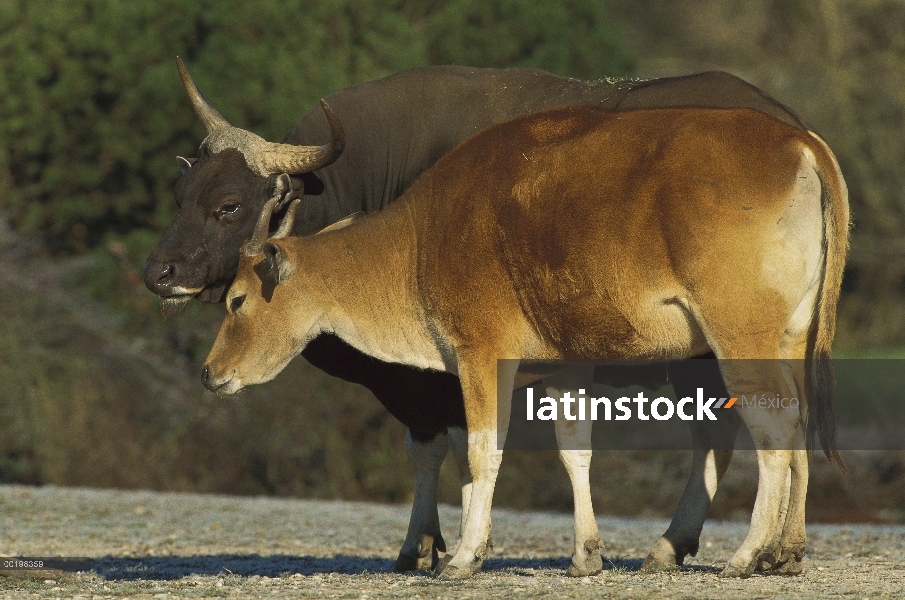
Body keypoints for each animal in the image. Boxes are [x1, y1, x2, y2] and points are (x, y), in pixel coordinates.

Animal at [147, 59, 812, 572]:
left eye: (229, 204)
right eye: (180, 194)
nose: (159, 272)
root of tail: (794, 134)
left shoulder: (448, 368)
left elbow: (454, 449)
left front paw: (435, 547)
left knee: (730, 430)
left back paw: (693, 545)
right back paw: (780, 548)